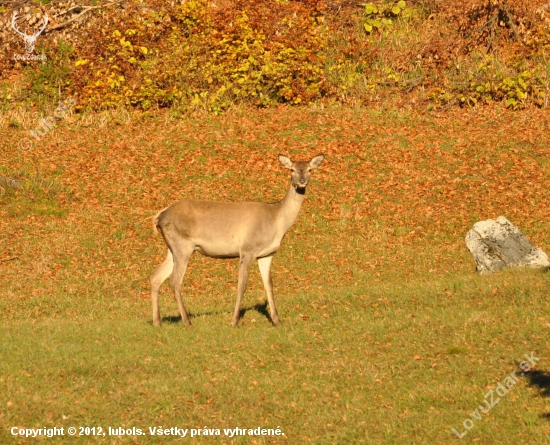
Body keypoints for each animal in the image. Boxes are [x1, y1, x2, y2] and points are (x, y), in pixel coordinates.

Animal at [149, 153, 326, 326]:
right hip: (183, 245)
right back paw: (187, 321)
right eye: (292, 169)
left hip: (172, 248)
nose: (301, 181)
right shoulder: (248, 249)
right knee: (174, 281)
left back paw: (157, 322)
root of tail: (160, 216)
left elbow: (269, 285)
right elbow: (242, 285)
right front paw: (234, 321)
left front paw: (277, 320)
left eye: (310, 169)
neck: (276, 221)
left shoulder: (267, 254)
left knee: (156, 277)